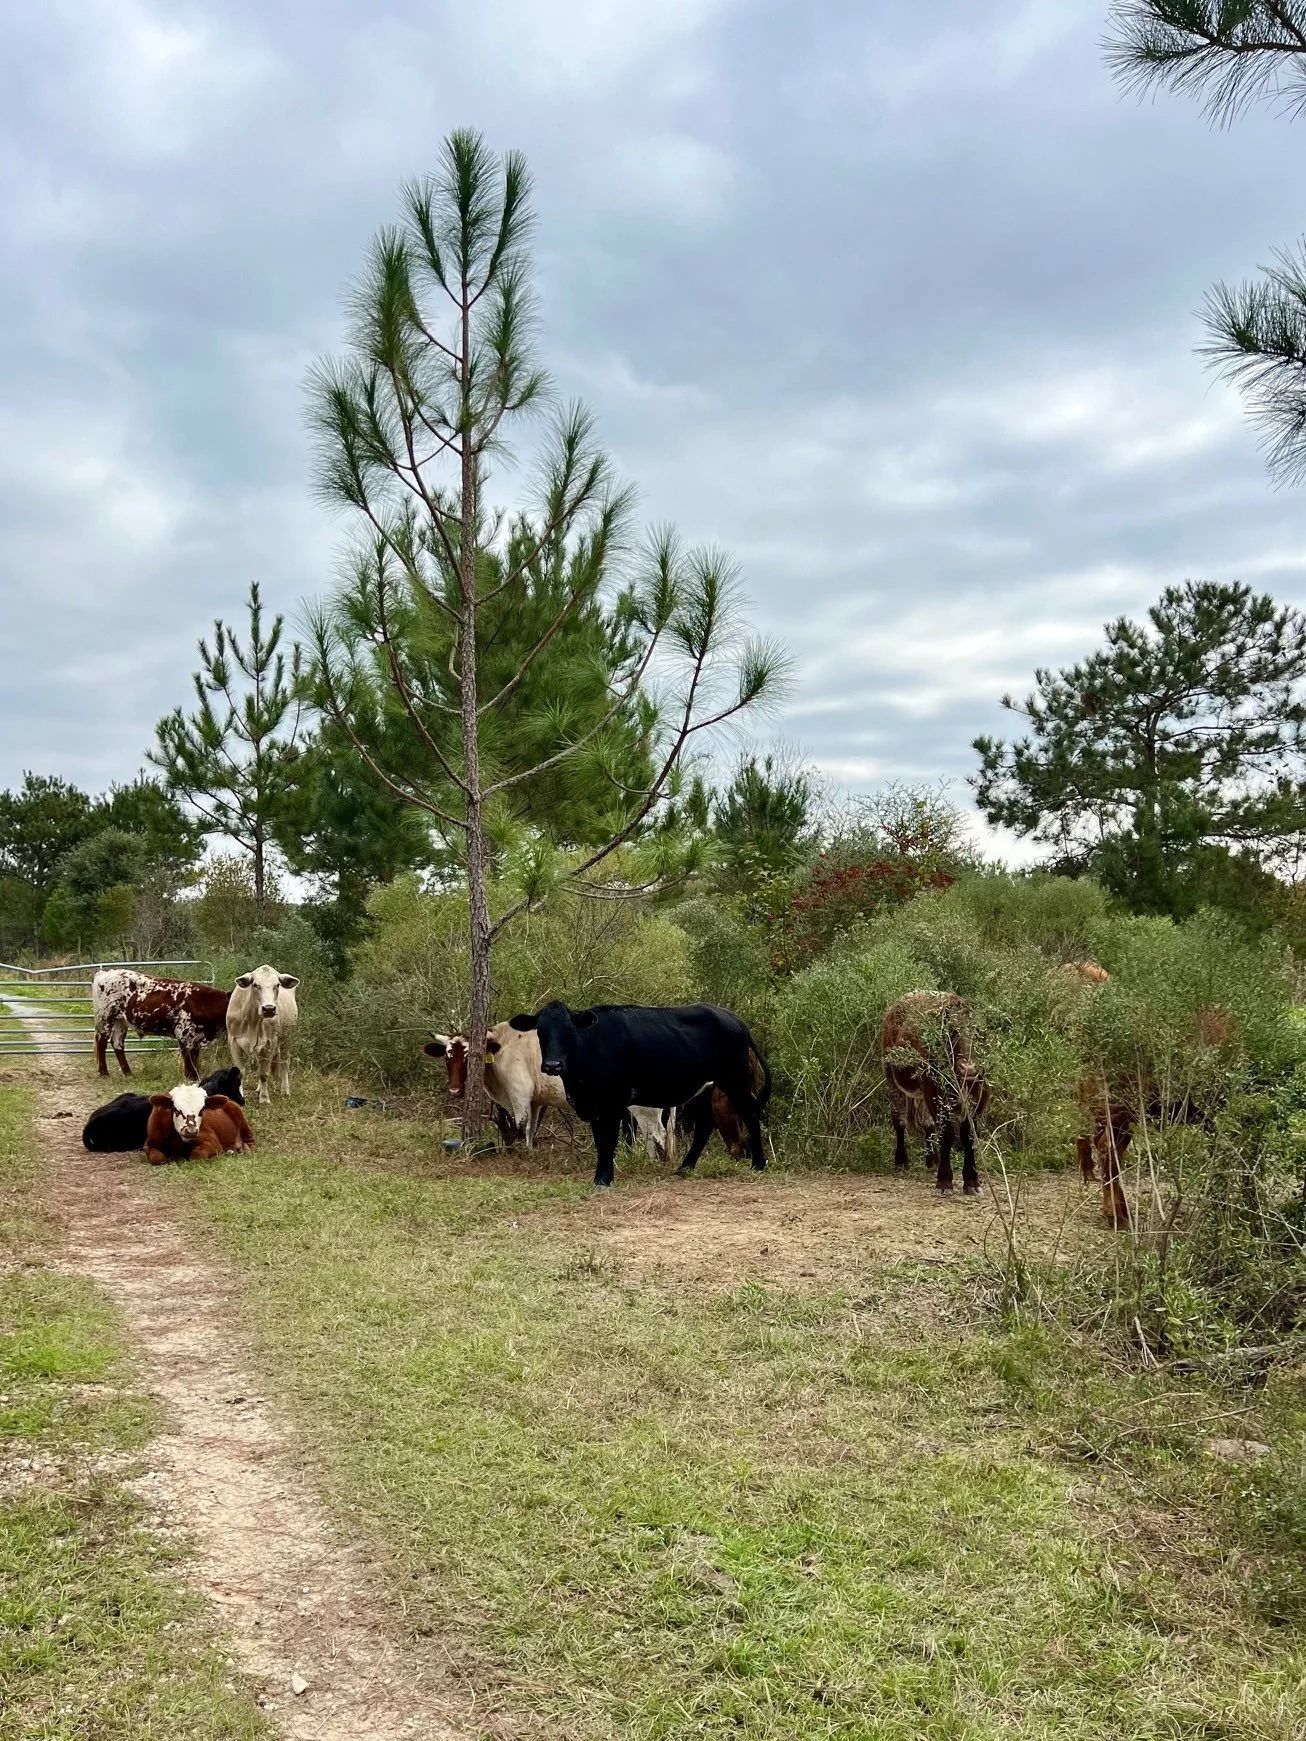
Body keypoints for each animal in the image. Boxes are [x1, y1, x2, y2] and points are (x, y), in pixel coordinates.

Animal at [93, 969, 232, 1080]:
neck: (202, 1003)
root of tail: (105, 972)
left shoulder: (196, 1038)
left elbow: (194, 1059)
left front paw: (195, 1075)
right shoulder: (183, 1034)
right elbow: (188, 1059)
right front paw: (192, 1077)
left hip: (120, 1022)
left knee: (117, 1044)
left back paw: (128, 1073)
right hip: (105, 1018)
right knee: (101, 1042)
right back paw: (104, 1072)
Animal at [226, 965, 300, 1105]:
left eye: (277, 985)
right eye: (255, 985)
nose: (269, 1009)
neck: (252, 1021)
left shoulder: (271, 1042)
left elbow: (264, 1073)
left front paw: (264, 1098)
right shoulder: (233, 1040)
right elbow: (241, 1071)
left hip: (287, 1038)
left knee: (284, 1063)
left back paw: (285, 1090)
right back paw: (259, 1089)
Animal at [505, 1002, 772, 1188]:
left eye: (569, 1029)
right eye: (540, 1030)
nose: (552, 1065)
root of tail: (734, 1018)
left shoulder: (612, 1103)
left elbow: (609, 1140)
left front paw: (604, 1179)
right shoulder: (594, 1105)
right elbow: (601, 1140)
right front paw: (601, 1176)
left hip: (735, 1080)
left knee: (750, 1113)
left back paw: (758, 1164)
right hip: (705, 1089)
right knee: (705, 1125)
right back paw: (685, 1168)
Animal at [882, 992, 989, 1195]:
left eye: (981, 1032)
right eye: (951, 1031)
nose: (969, 1068)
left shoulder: (980, 1095)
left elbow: (969, 1136)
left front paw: (972, 1181)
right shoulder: (935, 1092)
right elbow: (947, 1134)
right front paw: (944, 1181)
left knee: (928, 1123)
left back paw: (933, 1160)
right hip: (891, 1077)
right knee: (899, 1119)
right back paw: (901, 1161)